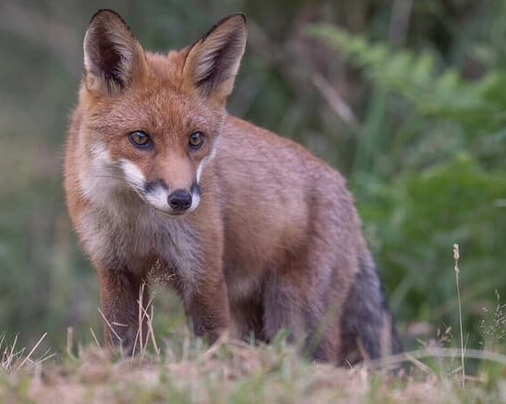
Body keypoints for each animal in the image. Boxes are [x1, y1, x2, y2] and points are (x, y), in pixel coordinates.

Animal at [64, 8, 404, 362]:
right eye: (140, 138)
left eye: (195, 139)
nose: (181, 199)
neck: (138, 221)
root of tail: (347, 193)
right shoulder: (115, 271)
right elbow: (124, 344)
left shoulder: (204, 272)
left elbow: (212, 339)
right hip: (254, 316)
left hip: (295, 315)